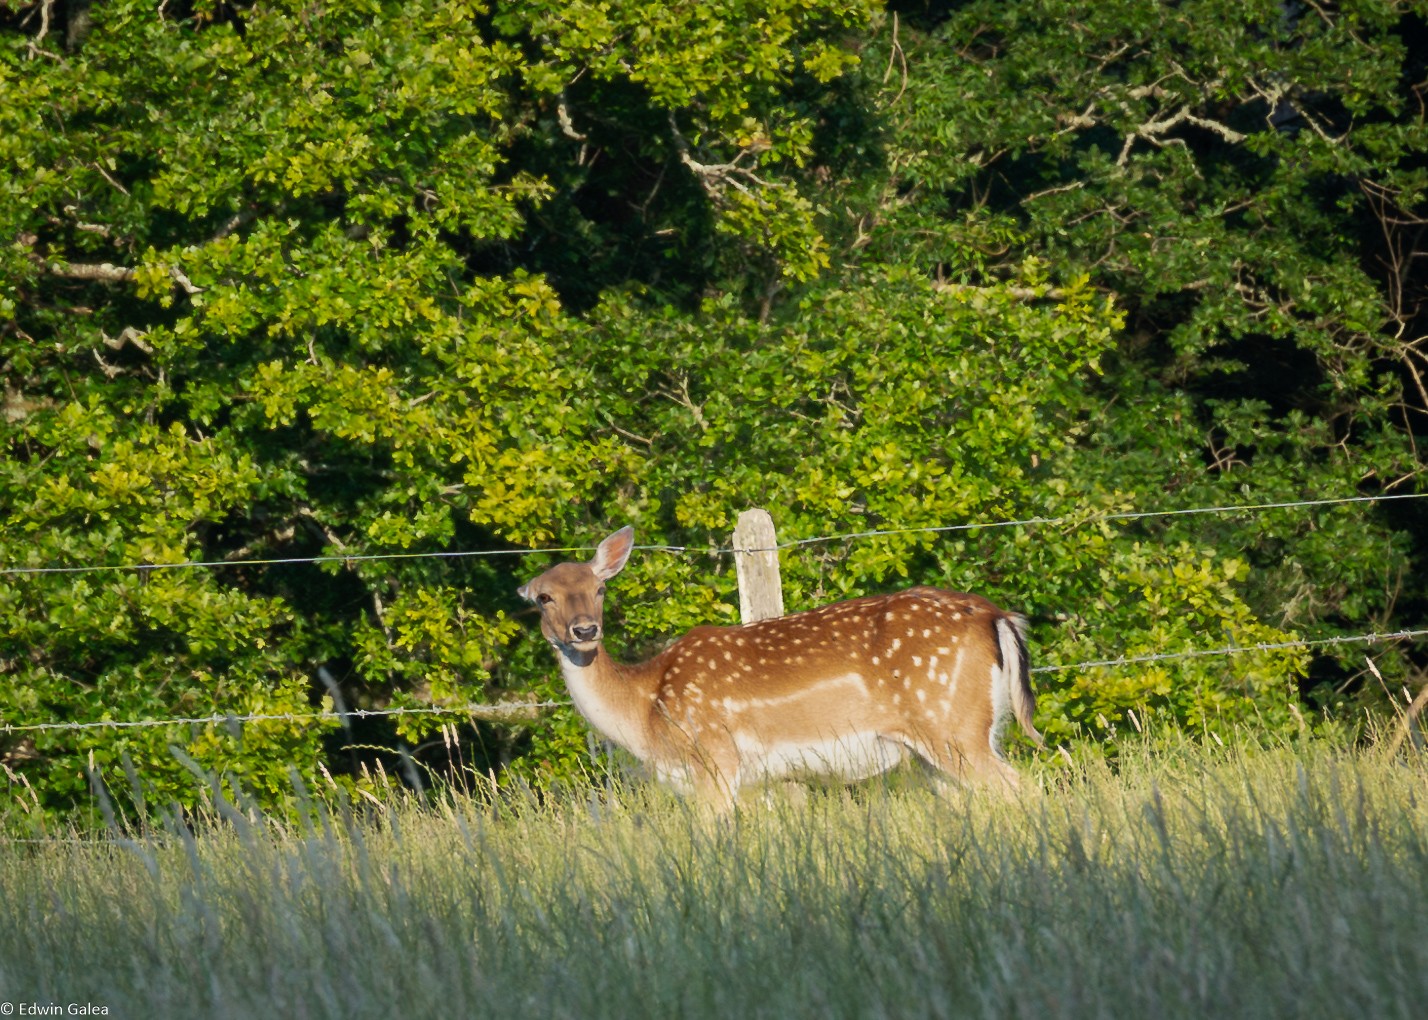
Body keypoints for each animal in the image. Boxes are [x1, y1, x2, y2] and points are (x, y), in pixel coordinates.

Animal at [514, 525, 1039, 811]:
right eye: (544, 598)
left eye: (599, 588)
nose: (584, 630)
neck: (646, 713)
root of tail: (999, 617)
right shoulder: (758, 782)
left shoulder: (715, 758)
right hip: (950, 742)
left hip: (951, 726)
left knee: (1023, 791)